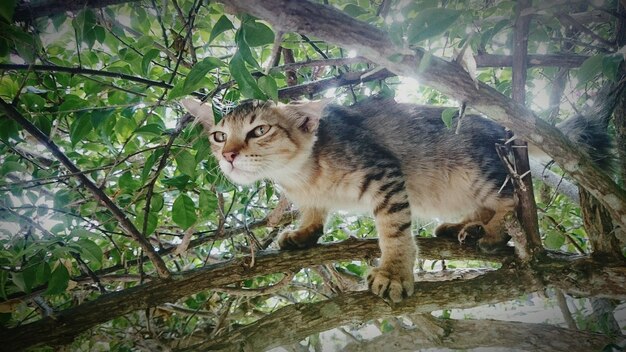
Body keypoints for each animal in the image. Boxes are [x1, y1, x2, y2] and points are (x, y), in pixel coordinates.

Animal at [179, 96, 608, 302]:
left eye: (259, 130)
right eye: (219, 135)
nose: (228, 155)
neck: (300, 176)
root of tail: (503, 127)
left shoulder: (383, 173)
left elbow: (394, 230)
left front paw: (395, 272)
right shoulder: (313, 194)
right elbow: (315, 212)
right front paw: (305, 233)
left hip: (479, 174)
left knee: (512, 203)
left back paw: (488, 232)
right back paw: (463, 226)